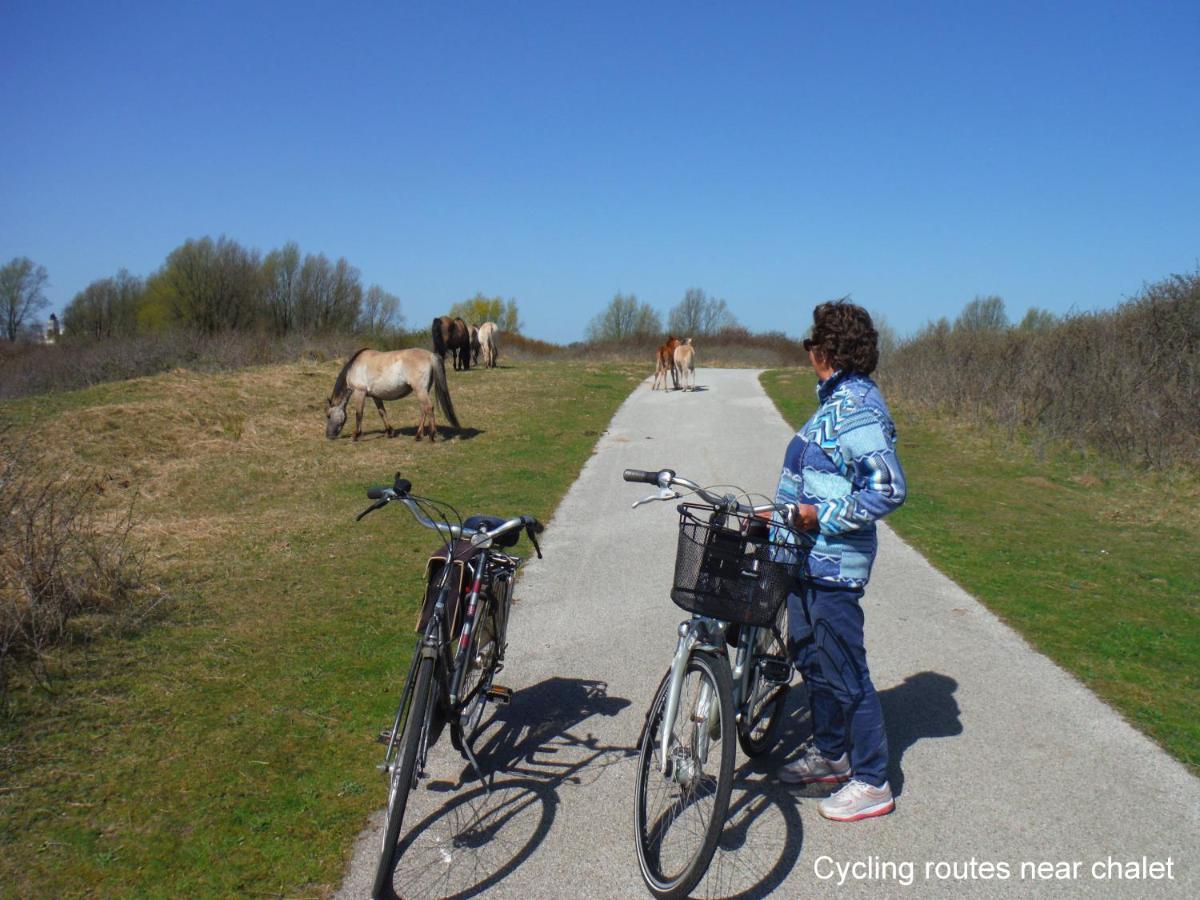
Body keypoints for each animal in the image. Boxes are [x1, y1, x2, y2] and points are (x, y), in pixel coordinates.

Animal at [326, 348, 460, 441]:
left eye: (328, 416)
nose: (328, 435)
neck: (354, 366)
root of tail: (430, 355)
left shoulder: (360, 392)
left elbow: (359, 414)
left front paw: (355, 435)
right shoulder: (376, 396)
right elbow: (382, 412)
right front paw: (389, 432)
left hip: (420, 390)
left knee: (429, 408)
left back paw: (431, 436)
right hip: (422, 391)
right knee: (424, 410)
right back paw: (418, 436)